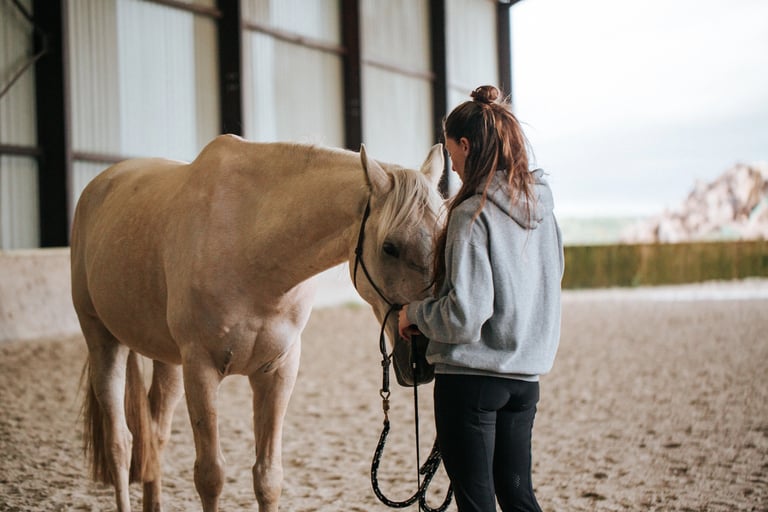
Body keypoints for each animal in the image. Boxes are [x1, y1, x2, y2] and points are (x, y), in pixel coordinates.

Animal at [70, 134, 445, 512]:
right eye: (390, 247)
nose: (422, 359)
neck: (249, 245)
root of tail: (100, 184)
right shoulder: (200, 369)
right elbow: (210, 476)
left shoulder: (277, 371)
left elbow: (268, 477)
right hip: (103, 340)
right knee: (119, 443)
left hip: (167, 360)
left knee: (155, 433)